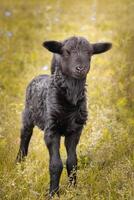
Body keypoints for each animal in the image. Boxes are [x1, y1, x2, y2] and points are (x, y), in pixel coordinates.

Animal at [16, 36, 111, 198]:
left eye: (90, 53)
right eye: (66, 52)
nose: (80, 68)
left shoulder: (75, 130)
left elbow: (72, 162)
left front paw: (73, 189)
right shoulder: (51, 130)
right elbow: (55, 164)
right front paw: (53, 193)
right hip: (27, 115)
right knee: (24, 139)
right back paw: (19, 165)